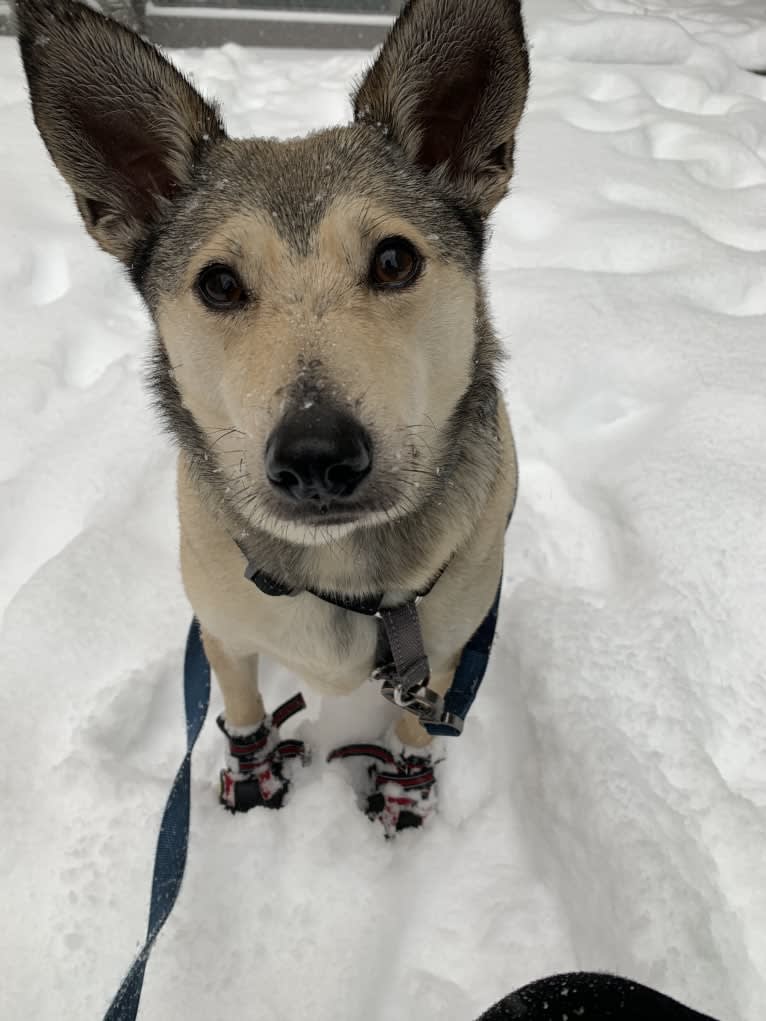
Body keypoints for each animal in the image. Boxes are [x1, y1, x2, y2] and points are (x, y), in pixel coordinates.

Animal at [19, 0, 535, 829]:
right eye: (220, 283)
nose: (317, 456)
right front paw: (256, 779)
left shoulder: (447, 655)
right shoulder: (223, 631)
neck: (342, 570)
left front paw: (404, 795)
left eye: (395, 260)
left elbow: (418, 726)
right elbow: (240, 705)